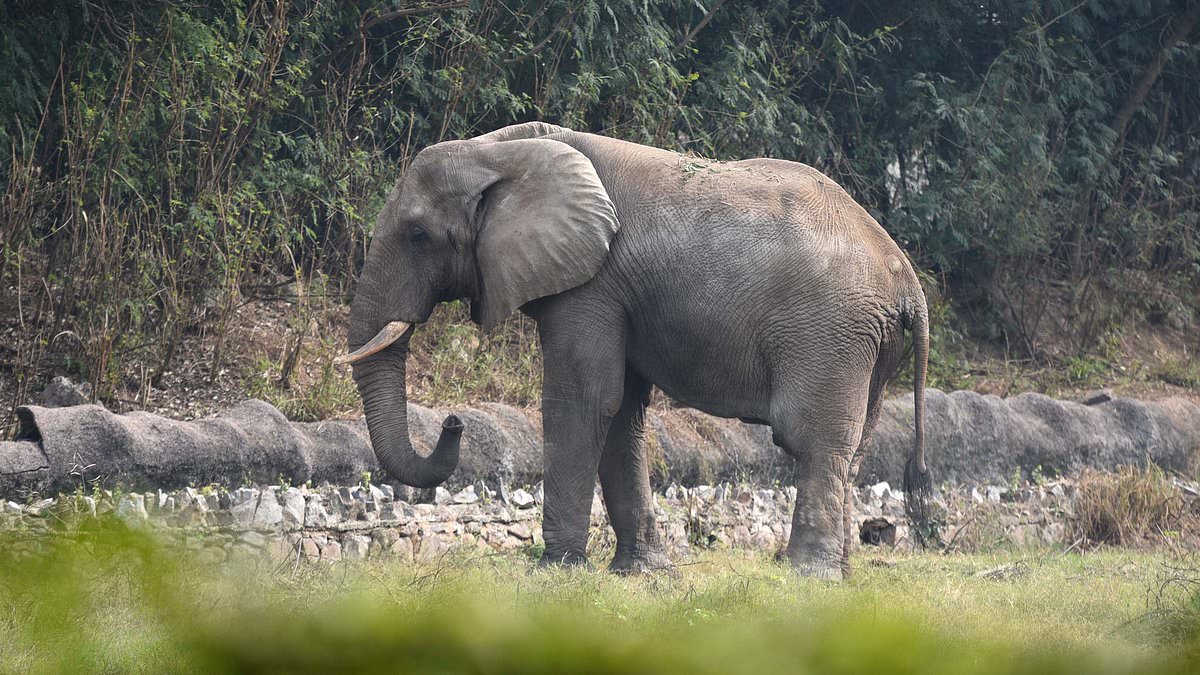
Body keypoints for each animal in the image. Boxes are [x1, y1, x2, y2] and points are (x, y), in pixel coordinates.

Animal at [337, 121, 930, 580]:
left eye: (417, 235)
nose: (454, 422)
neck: (500, 148)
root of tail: (907, 279)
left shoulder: (592, 284)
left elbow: (582, 401)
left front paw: (556, 571)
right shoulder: (617, 292)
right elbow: (621, 411)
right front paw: (642, 573)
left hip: (830, 333)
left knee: (812, 440)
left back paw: (806, 576)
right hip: (867, 344)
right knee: (854, 447)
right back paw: (840, 574)